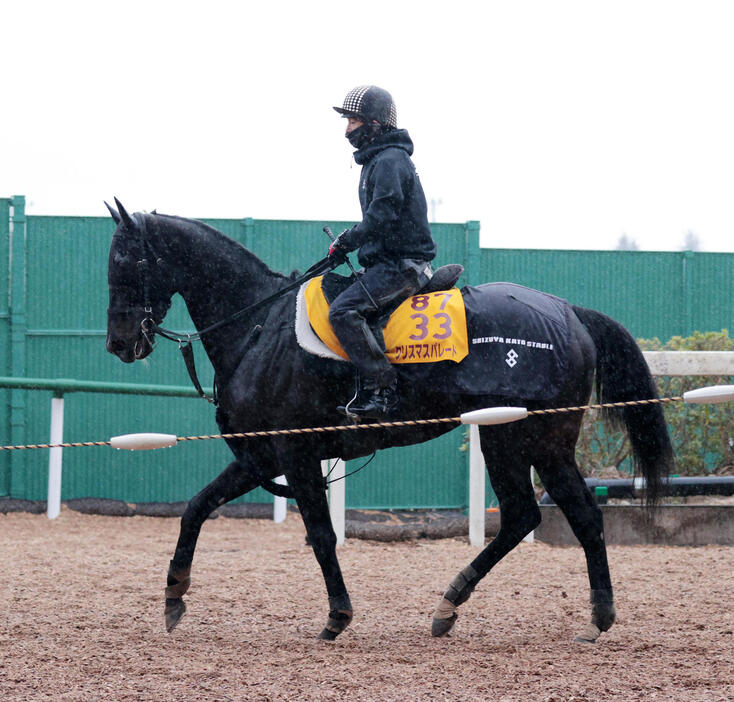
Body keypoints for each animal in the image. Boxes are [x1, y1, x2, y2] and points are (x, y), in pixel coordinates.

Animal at [106, 201, 676, 648]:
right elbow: (195, 509)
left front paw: (337, 616)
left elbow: (321, 534)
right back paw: (462, 607)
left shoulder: (295, 454)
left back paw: (586, 616)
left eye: (124, 259)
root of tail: (568, 312)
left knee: (567, 514)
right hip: (513, 439)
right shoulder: (259, 456)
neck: (259, 326)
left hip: (531, 439)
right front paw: (173, 596)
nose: (119, 344)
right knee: (534, 516)